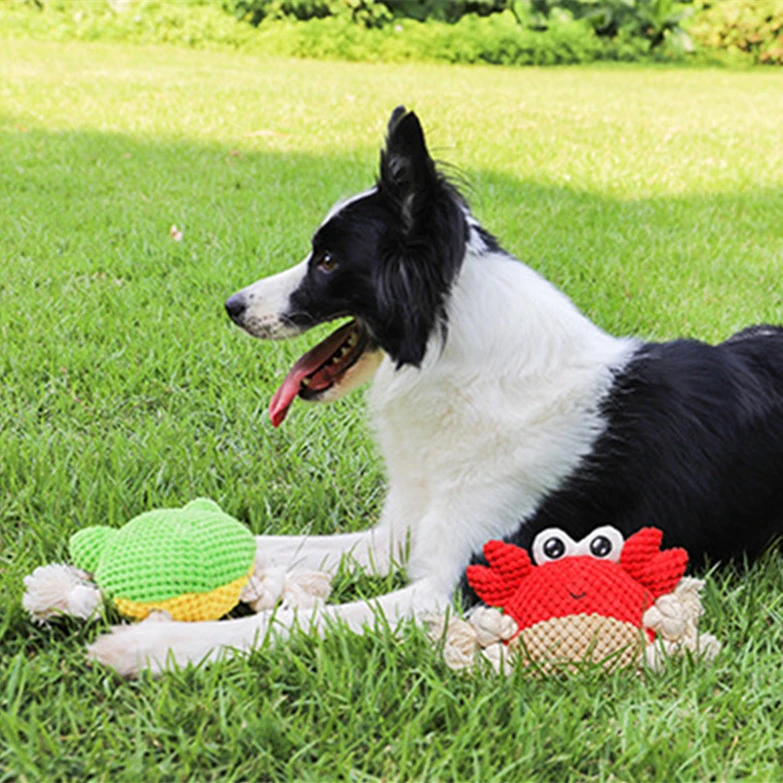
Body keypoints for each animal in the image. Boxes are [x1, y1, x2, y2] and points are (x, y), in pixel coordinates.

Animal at [89, 107, 783, 676]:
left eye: (327, 262)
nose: (233, 306)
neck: (463, 371)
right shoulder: (400, 534)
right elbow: (269, 545)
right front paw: (118, 552)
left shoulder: (452, 592)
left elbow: (296, 622)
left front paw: (152, 646)